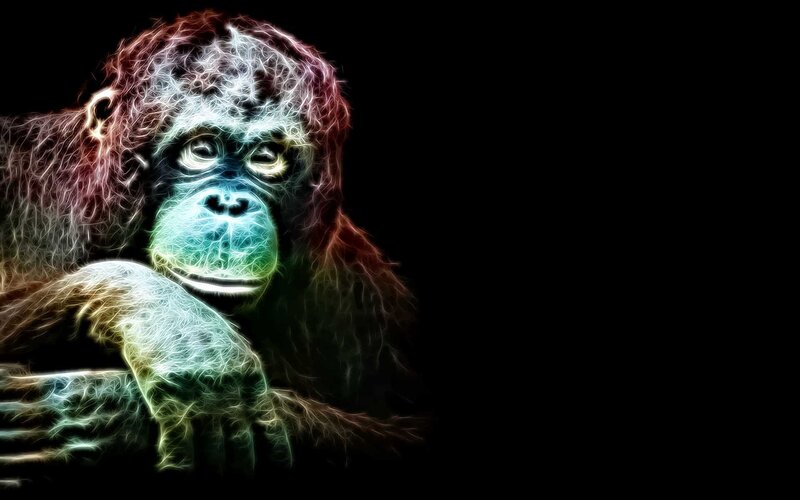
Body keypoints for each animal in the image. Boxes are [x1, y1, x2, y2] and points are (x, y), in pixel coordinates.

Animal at [0, 11, 421, 479]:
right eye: (201, 150)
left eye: (266, 157)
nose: (230, 203)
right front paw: (178, 329)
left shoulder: (365, 288)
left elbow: (406, 431)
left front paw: (111, 413)